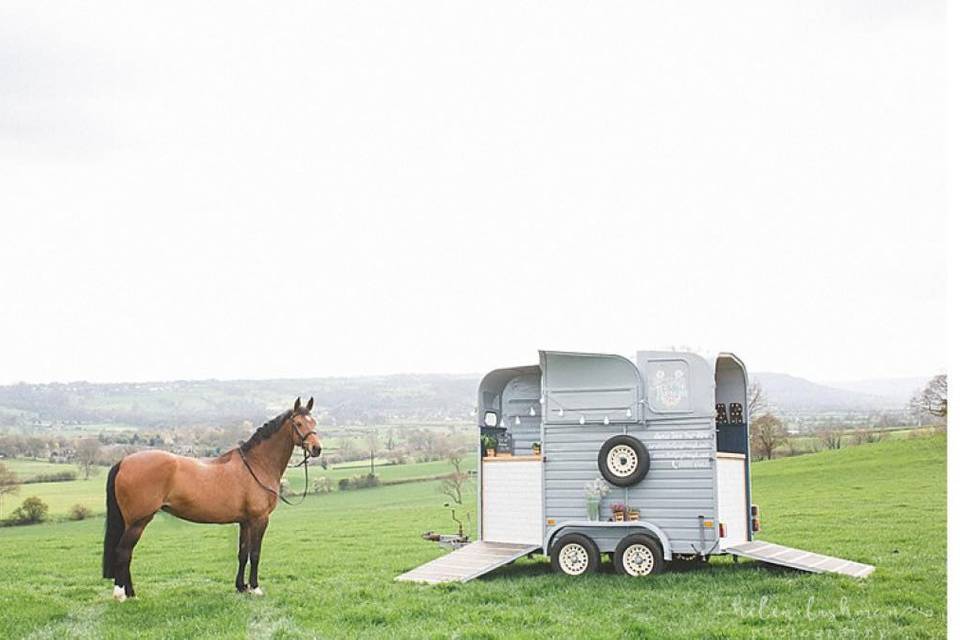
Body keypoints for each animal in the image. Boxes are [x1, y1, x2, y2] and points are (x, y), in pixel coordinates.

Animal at [102, 396, 322, 600]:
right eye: (298, 423)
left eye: (314, 422)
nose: (317, 448)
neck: (257, 464)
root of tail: (124, 461)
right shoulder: (259, 519)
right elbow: (255, 554)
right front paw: (255, 588)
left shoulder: (245, 522)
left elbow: (243, 553)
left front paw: (241, 587)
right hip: (138, 522)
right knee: (123, 552)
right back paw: (121, 595)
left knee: (127, 554)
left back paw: (131, 593)